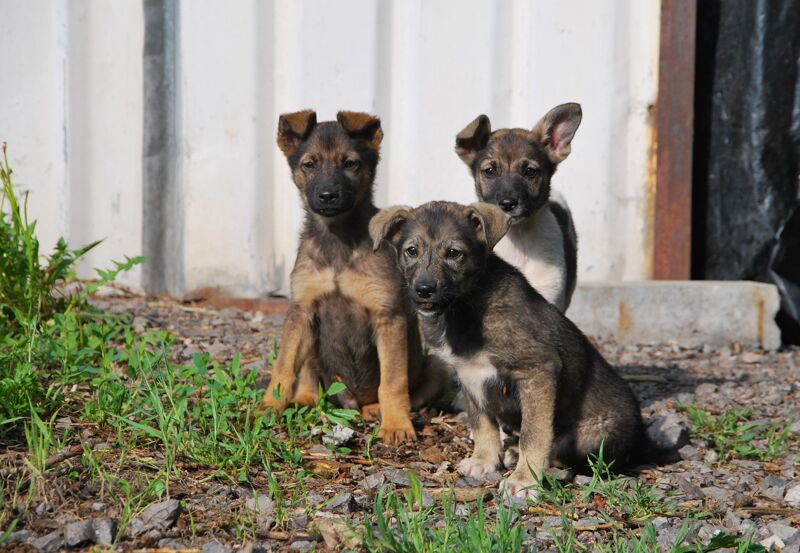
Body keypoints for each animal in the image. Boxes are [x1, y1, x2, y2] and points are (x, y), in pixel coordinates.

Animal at [372, 202, 648, 496]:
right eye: (412, 251)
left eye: (454, 253)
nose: (424, 289)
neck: (465, 307)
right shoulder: (468, 375)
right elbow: (482, 424)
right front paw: (484, 461)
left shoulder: (538, 369)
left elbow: (534, 434)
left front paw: (525, 480)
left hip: (594, 436)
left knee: (562, 449)